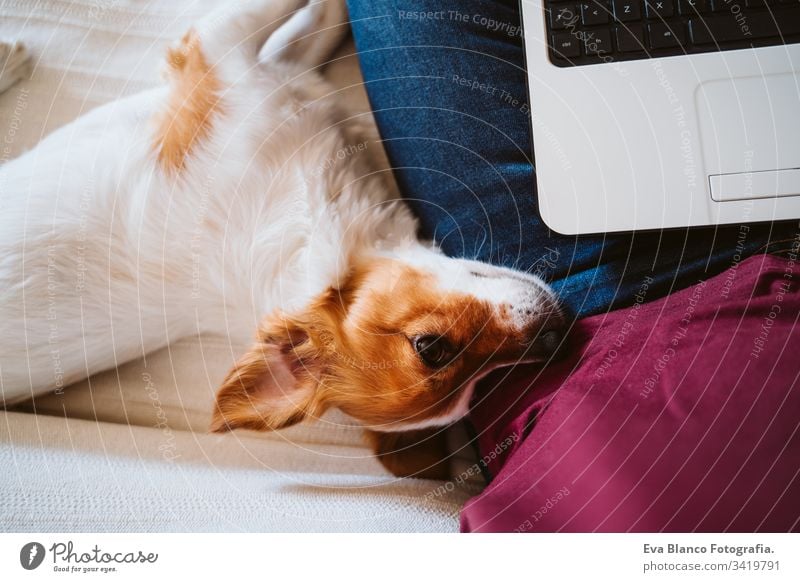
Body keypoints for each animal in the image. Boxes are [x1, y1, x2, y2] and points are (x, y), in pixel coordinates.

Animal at [0, 0, 564, 480]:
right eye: (432, 348)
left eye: (479, 392)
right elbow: (291, 21)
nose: (556, 336)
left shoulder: (266, 68)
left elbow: (309, 34)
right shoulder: (223, 47)